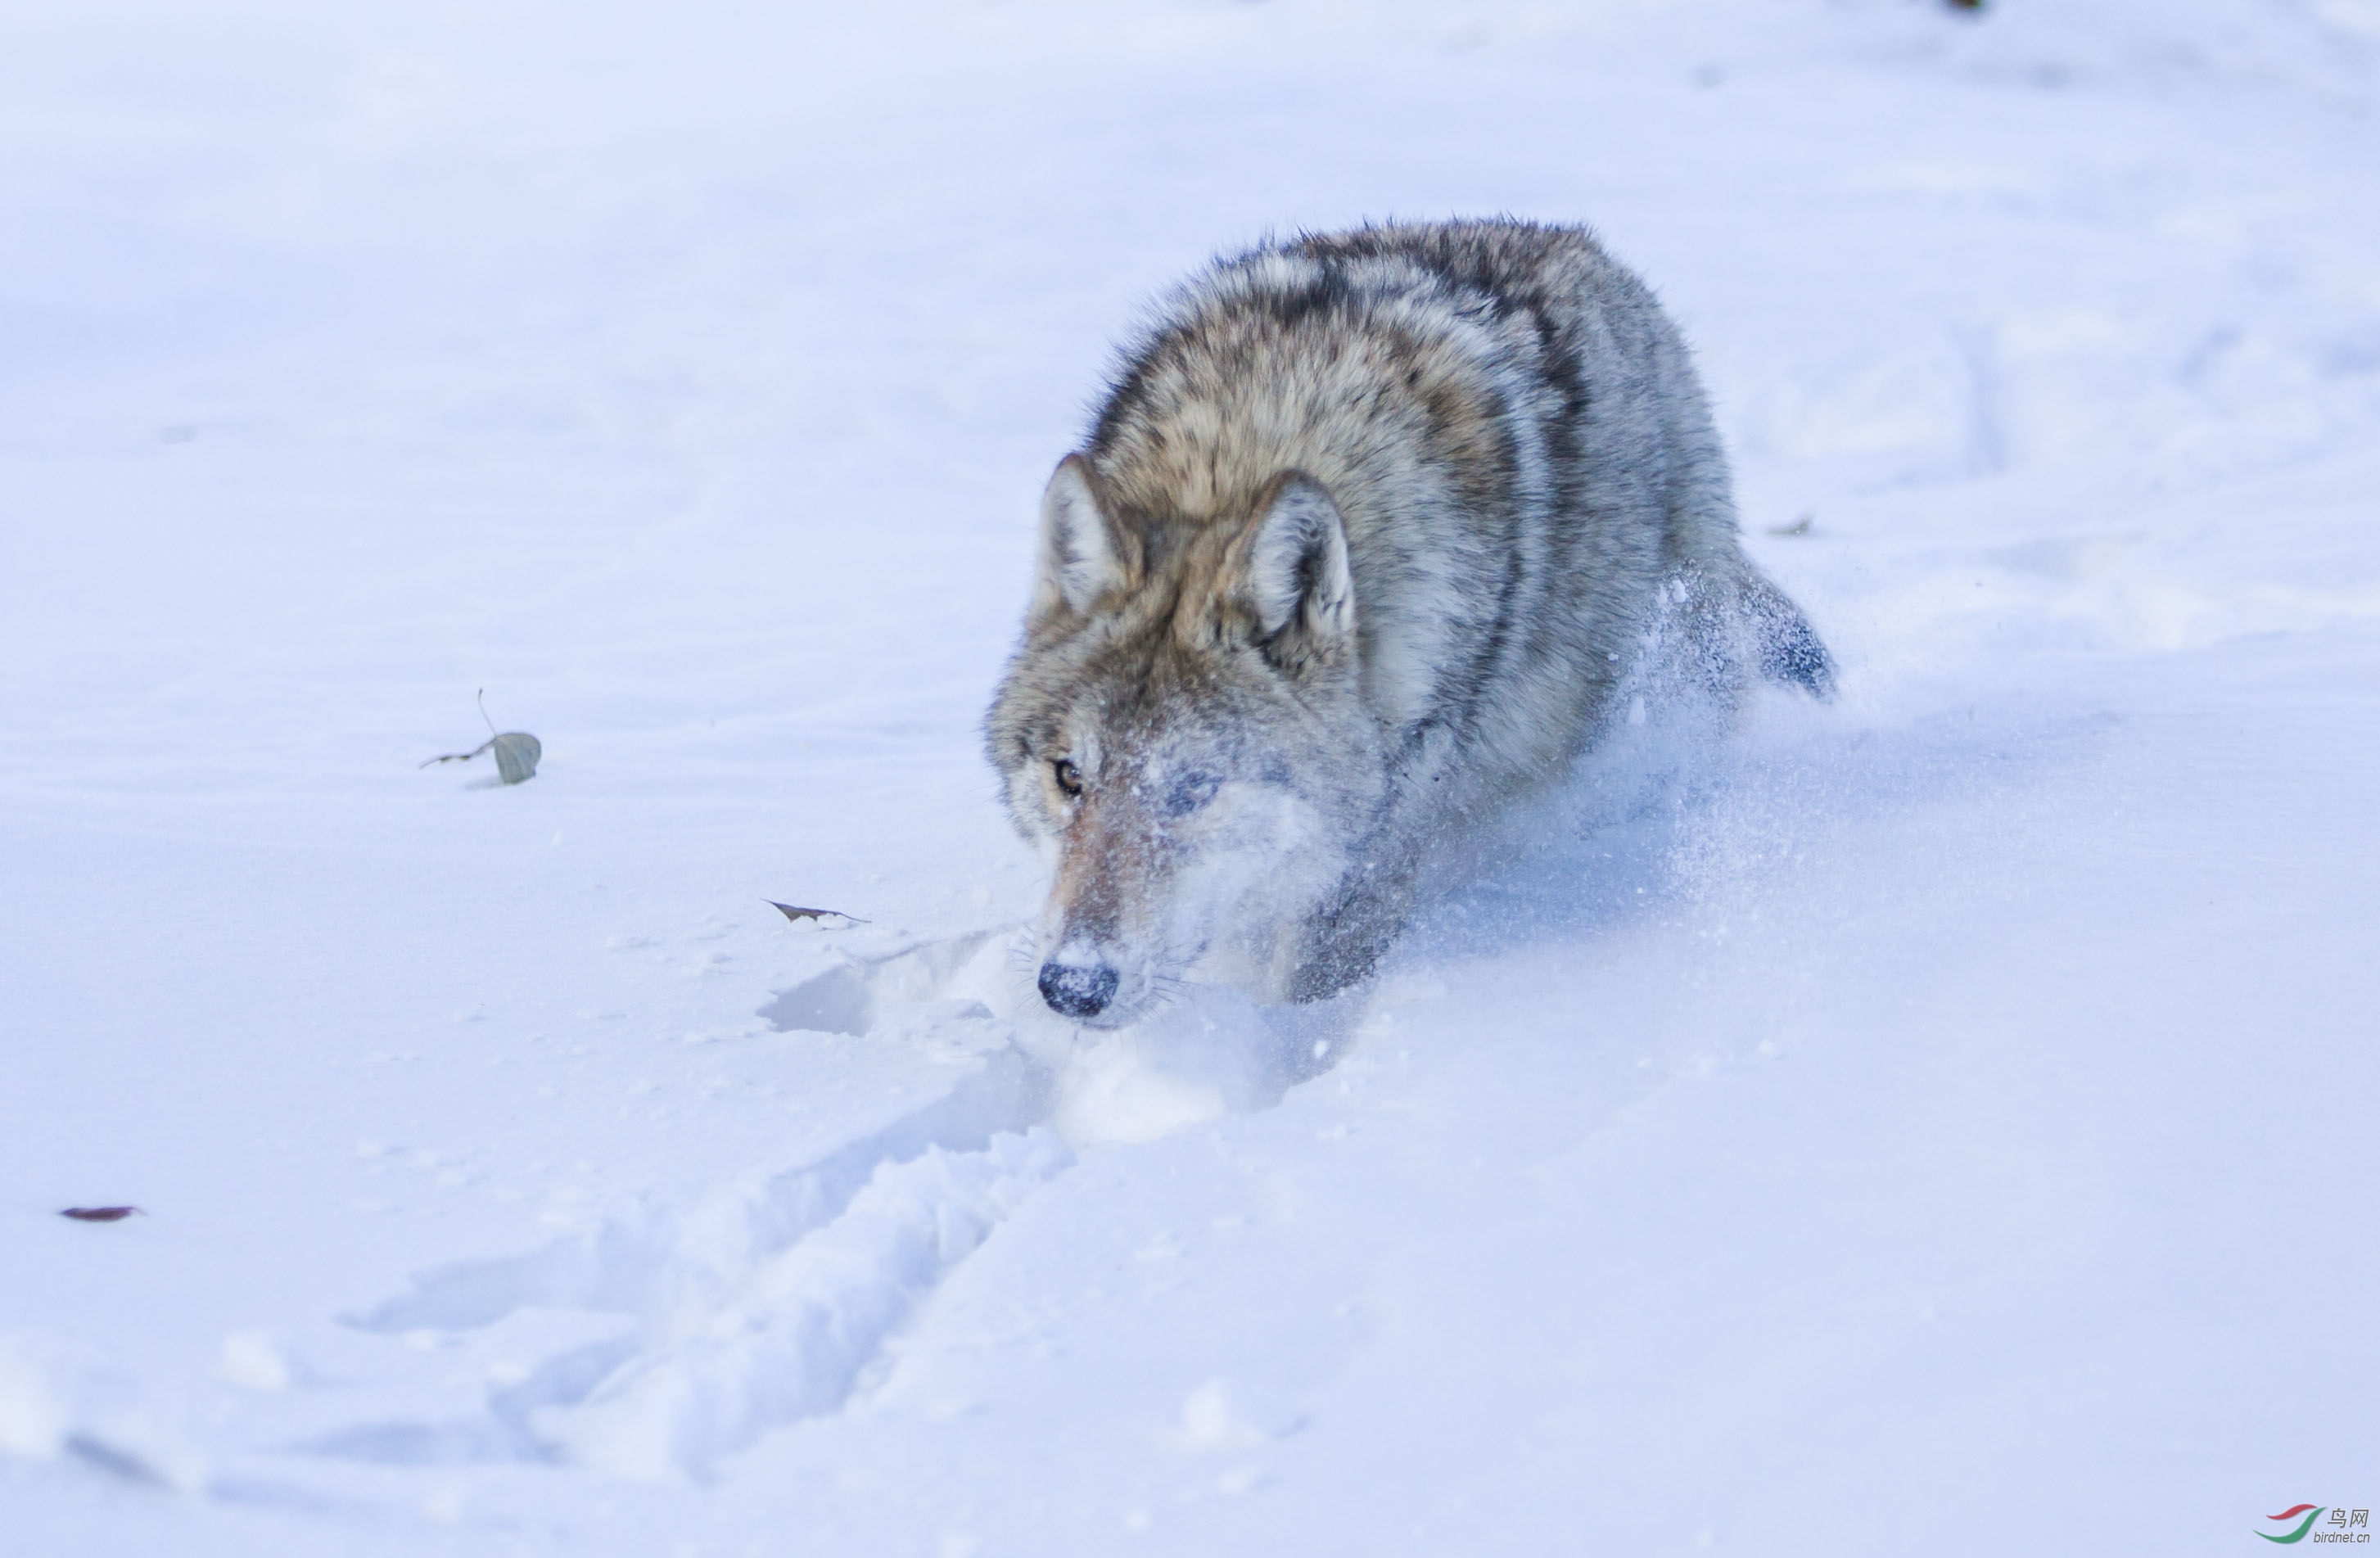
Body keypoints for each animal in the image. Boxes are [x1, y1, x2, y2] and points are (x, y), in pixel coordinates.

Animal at [975, 216, 1827, 1023]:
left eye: (1195, 789)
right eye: (1069, 776)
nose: (1073, 986)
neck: (1241, 462)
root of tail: (1589, 251)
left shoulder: (1371, 859)